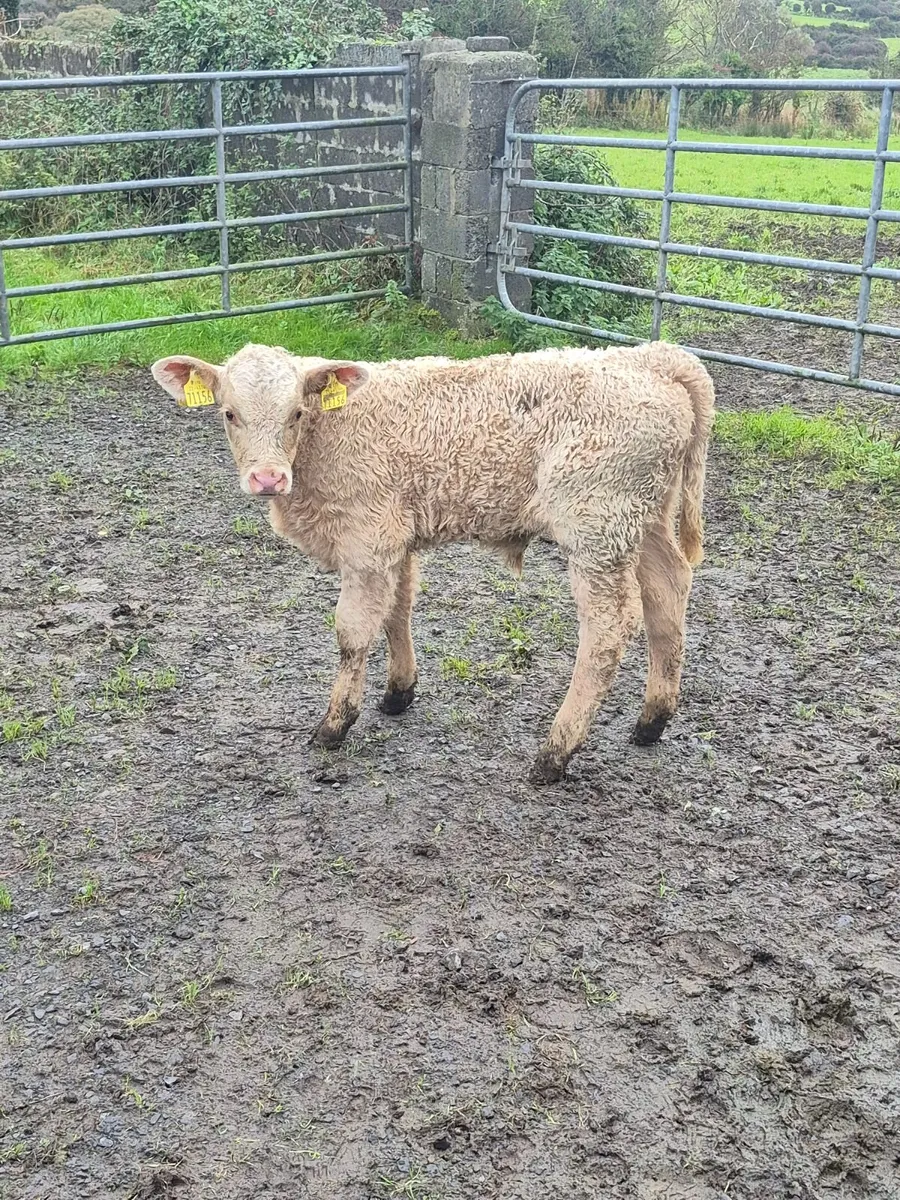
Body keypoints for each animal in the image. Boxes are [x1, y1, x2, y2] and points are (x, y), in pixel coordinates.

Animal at [151, 339, 714, 784]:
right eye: (229, 413)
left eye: (296, 413)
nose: (268, 478)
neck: (327, 436)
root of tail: (654, 358)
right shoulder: (394, 536)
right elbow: (397, 611)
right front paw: (398, 692)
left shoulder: (368, 538)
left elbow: (353, 632)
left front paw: (335, 724)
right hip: (646, 519)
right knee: (668, 593)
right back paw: (651, 721)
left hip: (597, 525)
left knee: (608, 629)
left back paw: (556, 752)